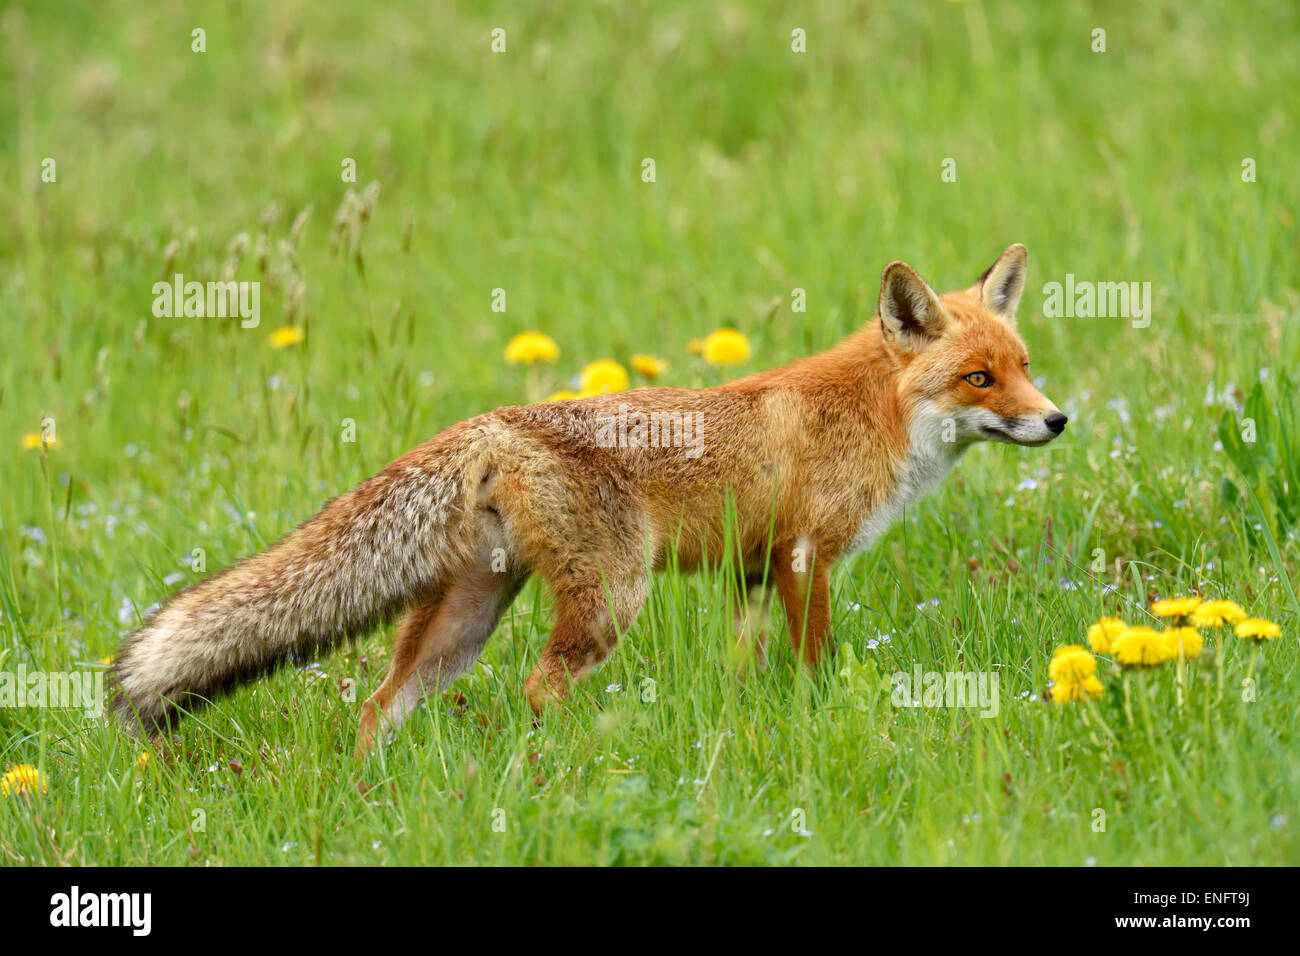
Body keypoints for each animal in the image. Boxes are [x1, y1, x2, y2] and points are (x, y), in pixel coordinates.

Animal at [111, 247, 1066, 754]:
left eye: (1023, 364)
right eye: (980, 378)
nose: (1057, 419)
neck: (873, 415)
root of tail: (491, 422)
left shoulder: (755, 572)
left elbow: (749, 666)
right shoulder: (807, 558)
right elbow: (817, 664)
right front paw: (821, 715)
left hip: (466, 619)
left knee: (380, 705)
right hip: (612, 596)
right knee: (538, 687)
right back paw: (572, 760)